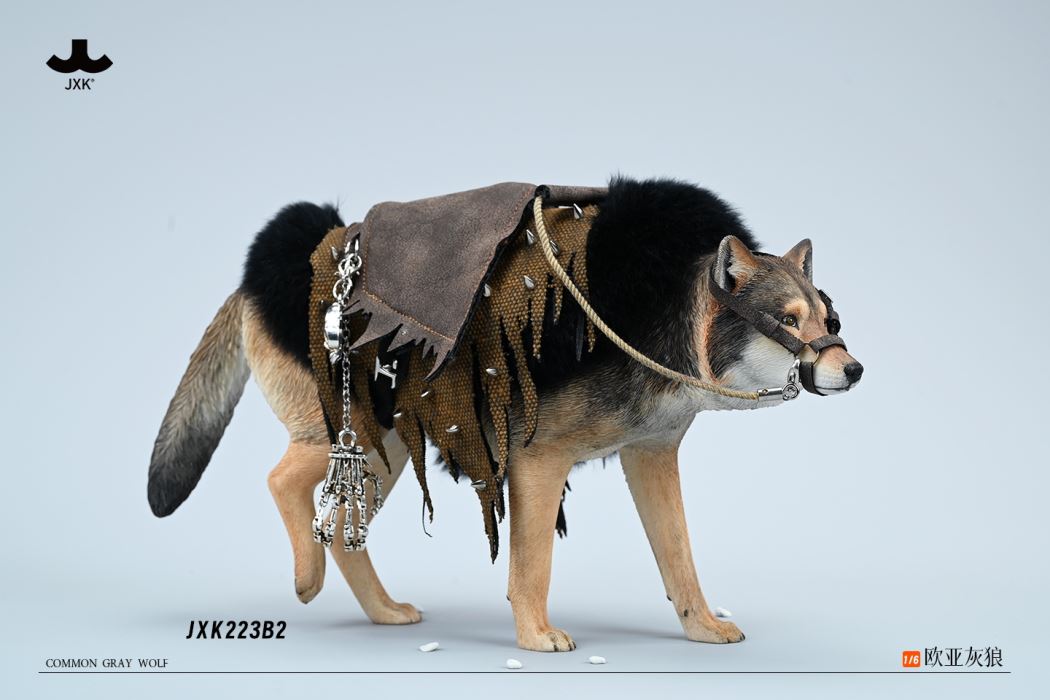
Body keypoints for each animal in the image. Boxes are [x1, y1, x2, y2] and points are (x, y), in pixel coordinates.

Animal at [147, 177, 862, 651]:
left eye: (829, 320)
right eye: (786, 322)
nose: (853, 369)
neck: (662, 316)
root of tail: (256, 277)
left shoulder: (651, 457)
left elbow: (680, 557)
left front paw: (702, 628)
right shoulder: (537, 461)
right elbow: (532, 564)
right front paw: (536, 635)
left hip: (387, 450)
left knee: (346, 532)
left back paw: (381, 611)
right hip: (348, 433)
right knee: (284, 484)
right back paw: (306, 577)